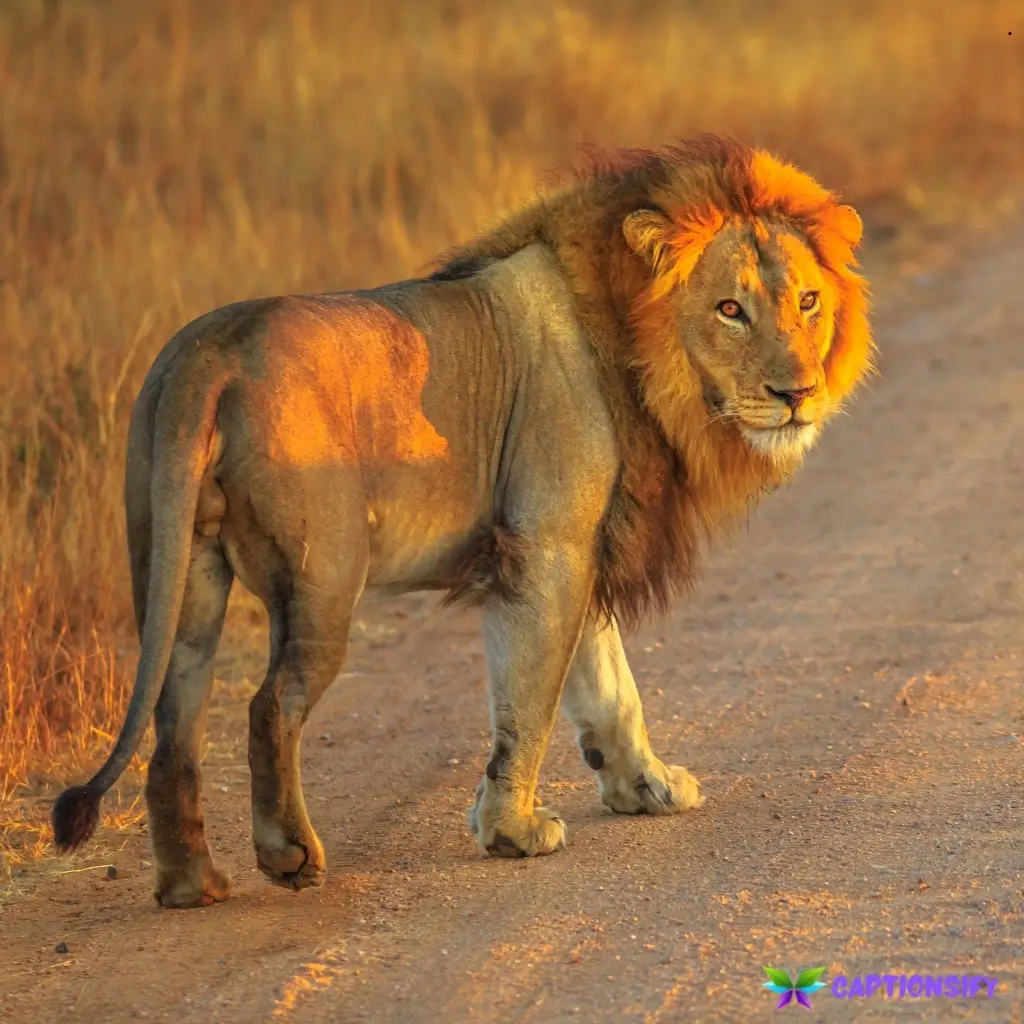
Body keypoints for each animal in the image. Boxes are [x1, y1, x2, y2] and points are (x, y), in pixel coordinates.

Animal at [52, 135, 873, 908]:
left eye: (807, 302)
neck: (637, 346)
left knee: (174, 726)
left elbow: (608, 683)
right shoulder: (547, 546)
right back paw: (289, 855)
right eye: (730, 309)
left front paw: (645, 785)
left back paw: (191, 884)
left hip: (181, 572)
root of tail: (209, 355)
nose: (798, 393)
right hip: (323, 580)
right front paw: (513, 831)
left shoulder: (583, 542)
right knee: (268, 707)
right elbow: (531, 699)